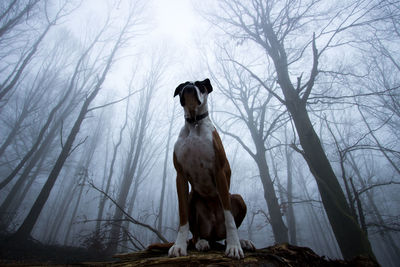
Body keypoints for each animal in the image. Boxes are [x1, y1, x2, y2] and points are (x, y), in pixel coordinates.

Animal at [168, 78, 255, 260]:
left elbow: (229, 217)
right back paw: (202, 242)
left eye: (200, 85)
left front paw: (234, 246)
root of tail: (213, 233)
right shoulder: (180, 177)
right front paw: (179, 246)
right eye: (183, 85)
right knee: (197, 235)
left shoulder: (219, 172)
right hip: (191, 198)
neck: (194, 124)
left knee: (226, 231)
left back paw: (241, 241)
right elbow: (183, 217)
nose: (189, 86)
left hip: (238, 197)